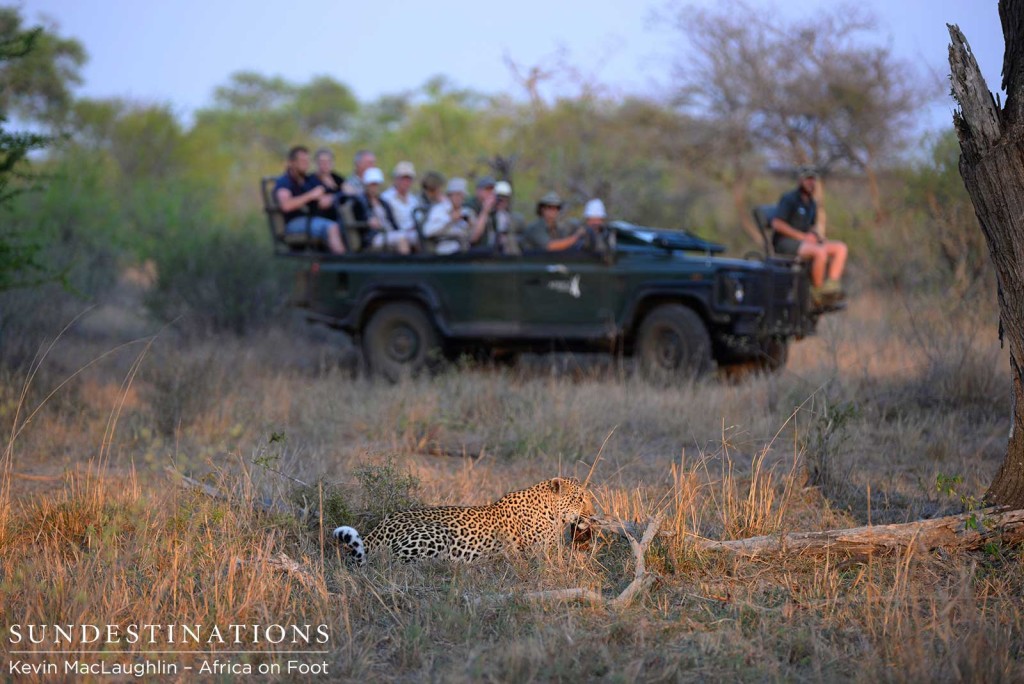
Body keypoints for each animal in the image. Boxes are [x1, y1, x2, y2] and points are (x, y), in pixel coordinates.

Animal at [335, 475, 593, 565]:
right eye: (579, 498)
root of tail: (380, 527)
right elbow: (568, 555)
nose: (592, 514)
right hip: (436, 535)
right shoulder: (540, 551)